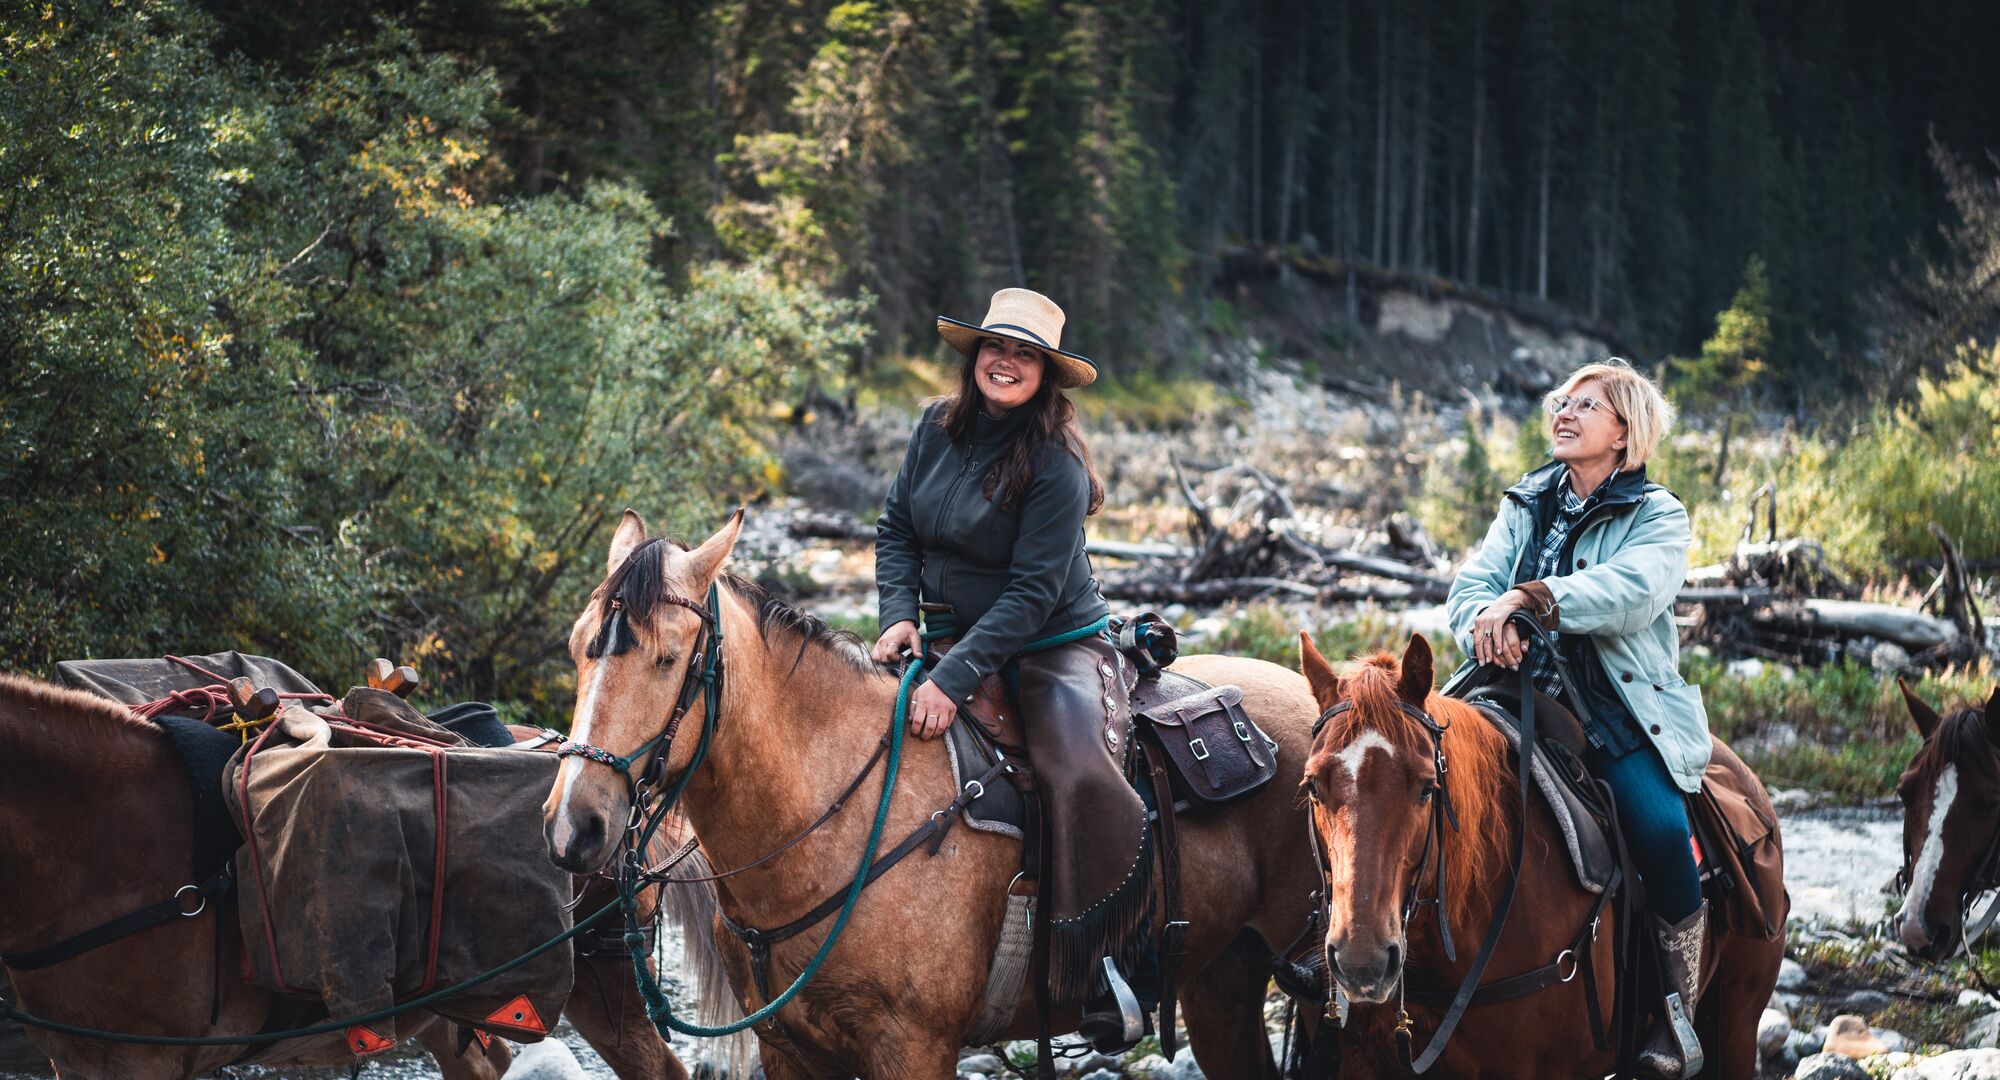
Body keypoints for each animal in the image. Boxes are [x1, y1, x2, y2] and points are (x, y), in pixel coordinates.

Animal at [540, 512, 1336, 1080]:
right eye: (578, 647)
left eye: (668, 659)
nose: (574, 827)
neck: (833, 821)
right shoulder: (788, 1050)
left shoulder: (914, 1049)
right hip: (1222, 979)